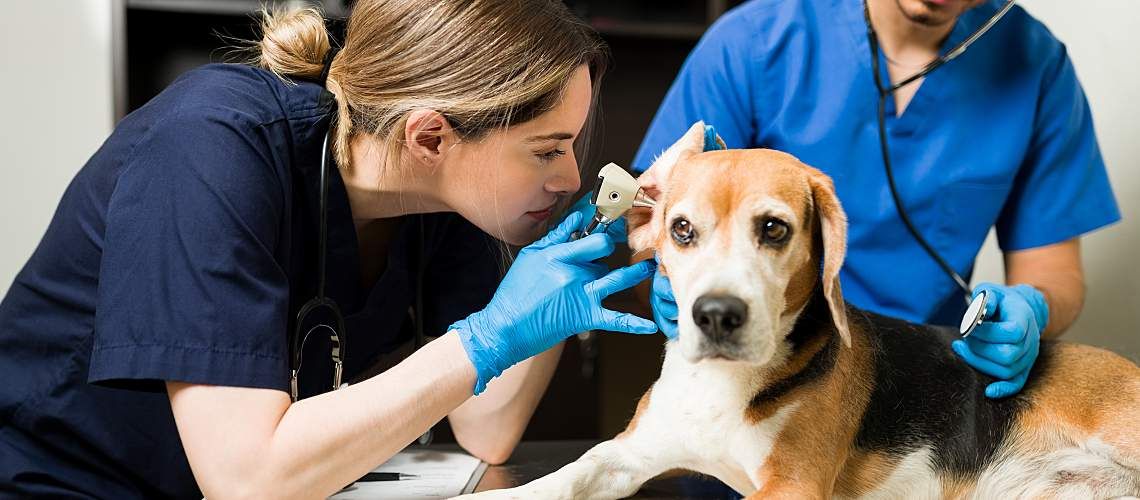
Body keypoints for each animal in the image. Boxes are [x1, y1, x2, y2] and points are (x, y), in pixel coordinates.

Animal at [460, 123, 1140, 498]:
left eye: (773, 228)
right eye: (681, 229)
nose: (716, 314)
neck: (723, 387)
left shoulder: (793, 485)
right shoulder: (626, 454)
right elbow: (559, 480)